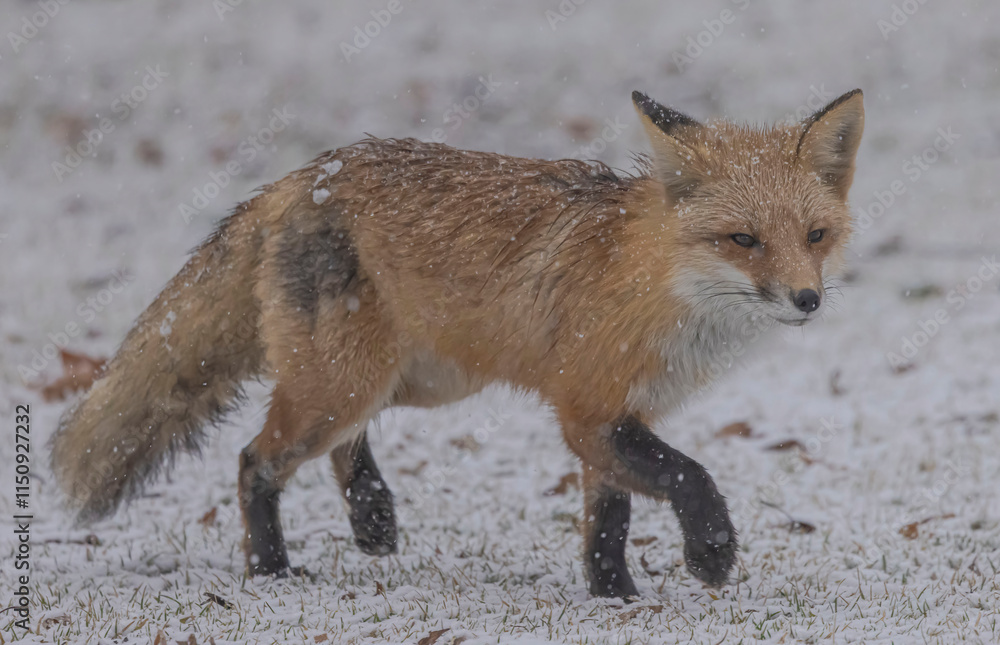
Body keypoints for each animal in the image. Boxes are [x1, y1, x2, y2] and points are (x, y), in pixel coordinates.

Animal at [50, 88, 864, 598]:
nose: (808, 299)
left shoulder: (613, 417)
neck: (658, 284)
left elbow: (608, 520)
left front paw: (614, 597)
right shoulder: (590, 410)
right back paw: (273, 570)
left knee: (342, 445)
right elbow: (688, 476)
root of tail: (302, 176)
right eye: (743, 240)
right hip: (343, 385)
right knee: (256, 458)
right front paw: (711, 552)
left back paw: (372, 517)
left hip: (410, 382)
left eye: (815, 236)